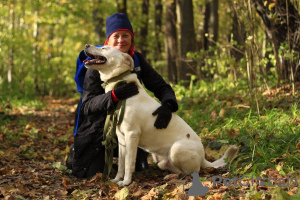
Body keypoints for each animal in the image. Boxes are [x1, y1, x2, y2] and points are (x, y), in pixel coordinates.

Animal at [83, 44, 238, 187]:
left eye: (104, 48)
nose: (86, 45)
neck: (122, 86)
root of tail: (203, 158)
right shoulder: (121, 138)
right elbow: (121, 163)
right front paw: (116, 180)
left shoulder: (132, 134)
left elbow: (128, 163)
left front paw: (126, 182)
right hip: (161, 162)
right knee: (178, 170)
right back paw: (169, 176)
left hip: (177, 149)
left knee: (192, 172)